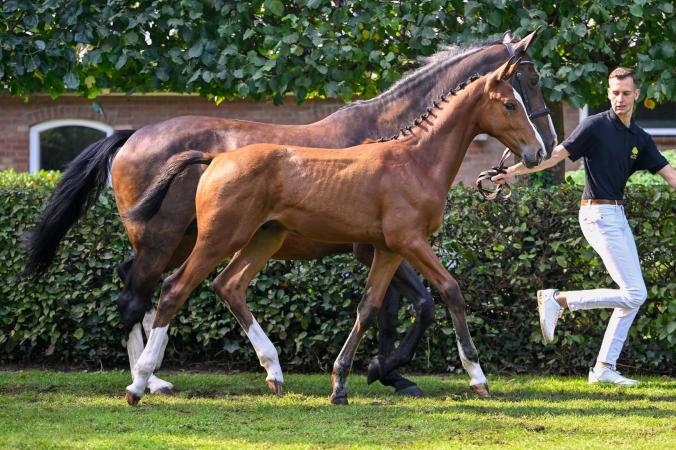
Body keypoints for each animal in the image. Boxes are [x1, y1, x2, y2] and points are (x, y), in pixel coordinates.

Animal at [127, 58, 548, 406]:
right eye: (510, 103)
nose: (539, 152)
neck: (416, 160)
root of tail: (216, 158)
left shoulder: (388, 249)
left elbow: (369, 307)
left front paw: (342, 384)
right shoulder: (409, 241)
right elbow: (450, 291)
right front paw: (477, 377)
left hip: (265, 238)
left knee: (228, 284)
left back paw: (273, 372)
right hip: (216, 238)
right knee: (172, 290)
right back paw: (141, 382)